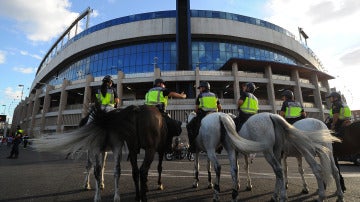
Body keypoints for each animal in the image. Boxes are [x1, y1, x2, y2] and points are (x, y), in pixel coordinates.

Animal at [33, 104, 181, 202]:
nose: (179, 126)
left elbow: (104, 169)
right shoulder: (158, 150)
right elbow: (159, 167)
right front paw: (159, 184)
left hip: (114, 149)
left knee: (108, 169)